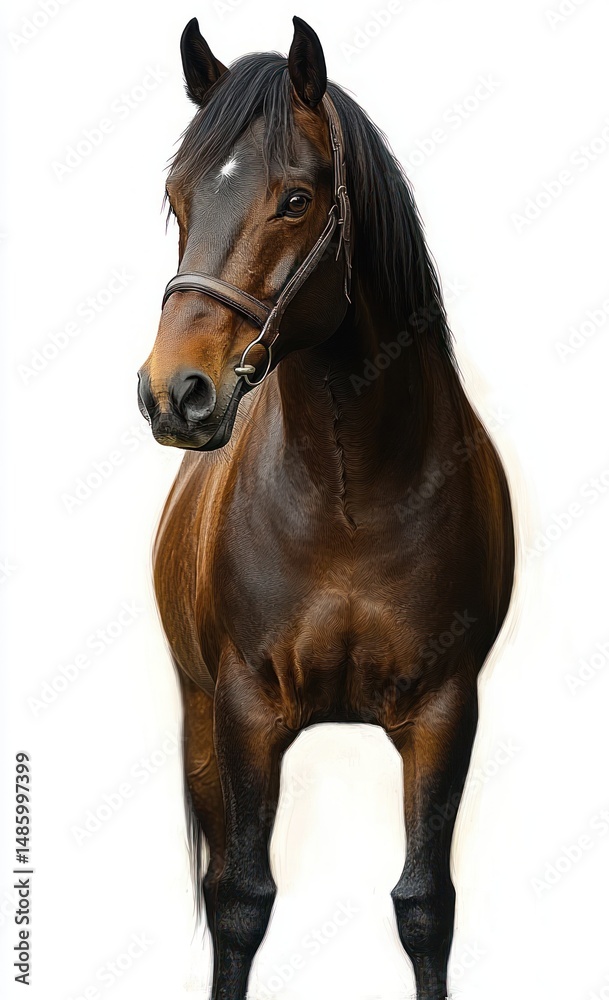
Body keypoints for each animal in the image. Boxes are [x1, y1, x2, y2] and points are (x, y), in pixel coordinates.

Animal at [137, 16, 514, 1000]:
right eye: (178, 200)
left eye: (296, 199)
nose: (173, 393)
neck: (349, 498)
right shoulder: (241, 710)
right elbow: (240, 900)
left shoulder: (444, 712)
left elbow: (424, 906)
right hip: (197, 716)